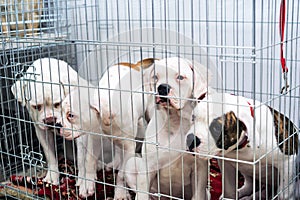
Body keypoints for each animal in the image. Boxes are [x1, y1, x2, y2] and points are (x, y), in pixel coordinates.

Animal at [125, 56, 210, 200]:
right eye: (155, 77)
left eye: (180, 77)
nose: (163, 87)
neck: (175, 121)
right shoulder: (148, 166)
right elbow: (142, 193)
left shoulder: (200, 169)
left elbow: (198, 194)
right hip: (132, 164)